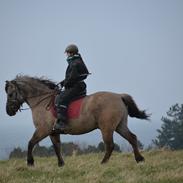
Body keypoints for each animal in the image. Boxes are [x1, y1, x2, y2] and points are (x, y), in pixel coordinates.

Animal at [5, 75, 149, 167]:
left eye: (10, 94)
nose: (8, 111)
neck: (42, 101)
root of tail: (119, 96)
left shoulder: (43, 130)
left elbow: (30, 143)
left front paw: (30, 162)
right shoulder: (53, 132)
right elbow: (57, 147)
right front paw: (61, 164)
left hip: (107, 128)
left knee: (110, 145)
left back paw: (103, 163)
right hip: (120, 126)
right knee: (132, 138)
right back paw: (139, 159)